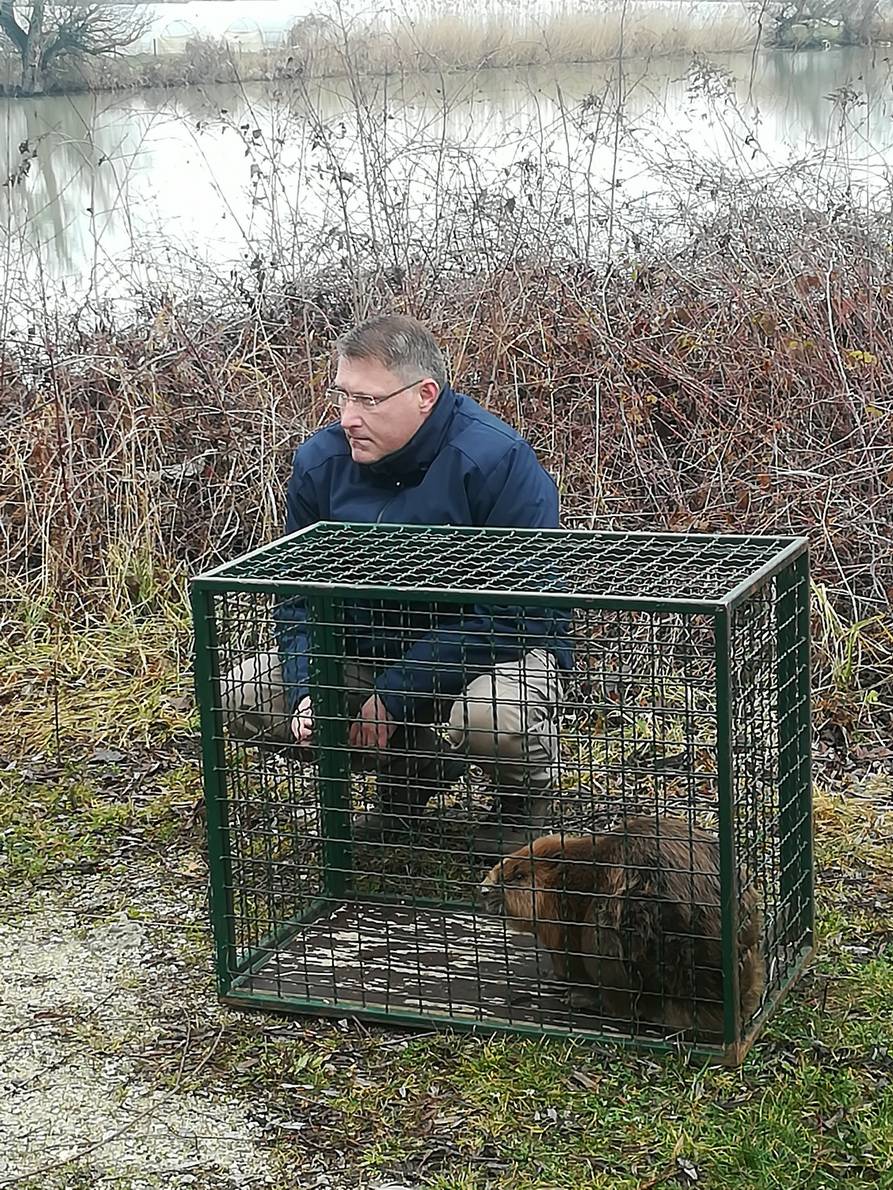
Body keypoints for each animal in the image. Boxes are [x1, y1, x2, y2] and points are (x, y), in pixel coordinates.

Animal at [478, 818, 766, 1032]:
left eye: (518, 876)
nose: (484, 890)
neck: (573, 879)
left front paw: (559, 981)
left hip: (605, 932)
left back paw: (583, 999)